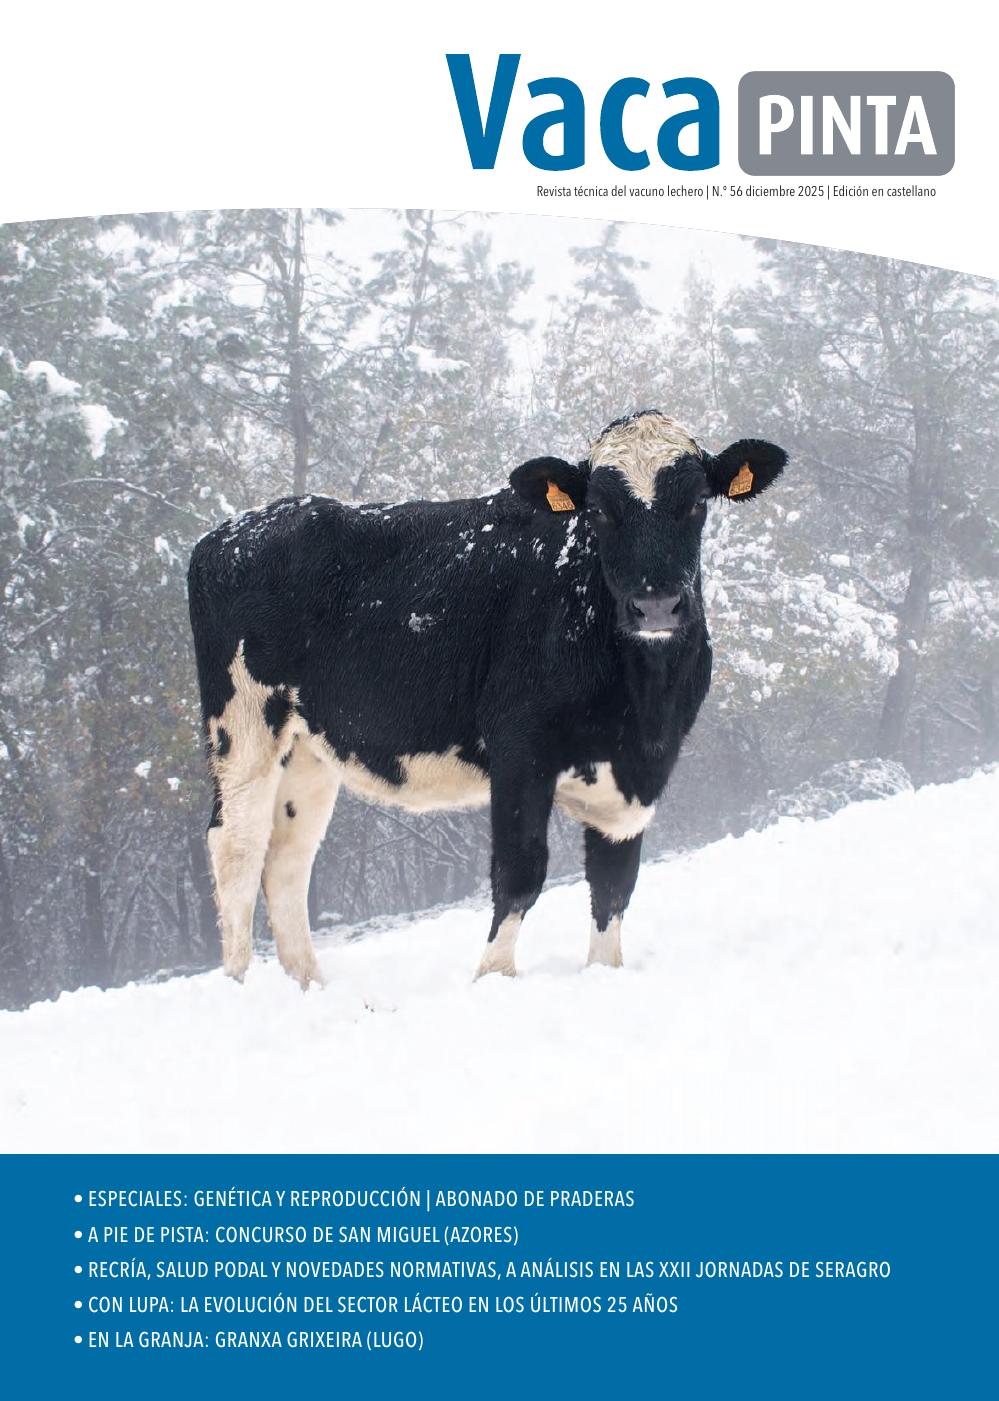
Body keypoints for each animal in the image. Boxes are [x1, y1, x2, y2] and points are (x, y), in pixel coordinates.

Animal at [187, 410, 786, 988]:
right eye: (598, 510)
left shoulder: (640, 771)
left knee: (288, 859)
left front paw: (603, 973)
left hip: (307, 748)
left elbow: (615, 881)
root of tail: (232, 530)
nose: (656, 603)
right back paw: (240, 987)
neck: (641, 703)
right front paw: (493, 977)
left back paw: (309, 986)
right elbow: (520, 871)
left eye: (698, 501)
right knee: (236, 847)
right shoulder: (520, 747)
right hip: (243, 725)